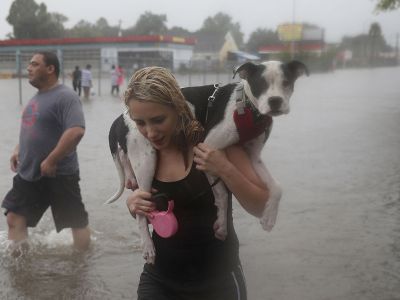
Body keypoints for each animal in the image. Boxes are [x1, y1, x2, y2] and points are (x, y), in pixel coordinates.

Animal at [104, 60, 308, 262]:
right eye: (260, 84)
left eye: (287, 83)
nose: (275, 101)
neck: (247, 109)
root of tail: (122, 116)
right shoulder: (207, 148)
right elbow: (222, 194)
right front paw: (222, 224)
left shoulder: (254, 156)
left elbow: (277, 187)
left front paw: (268, 218)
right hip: (146, 160)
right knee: (141, 211)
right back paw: (147, 246)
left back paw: (130, 177)